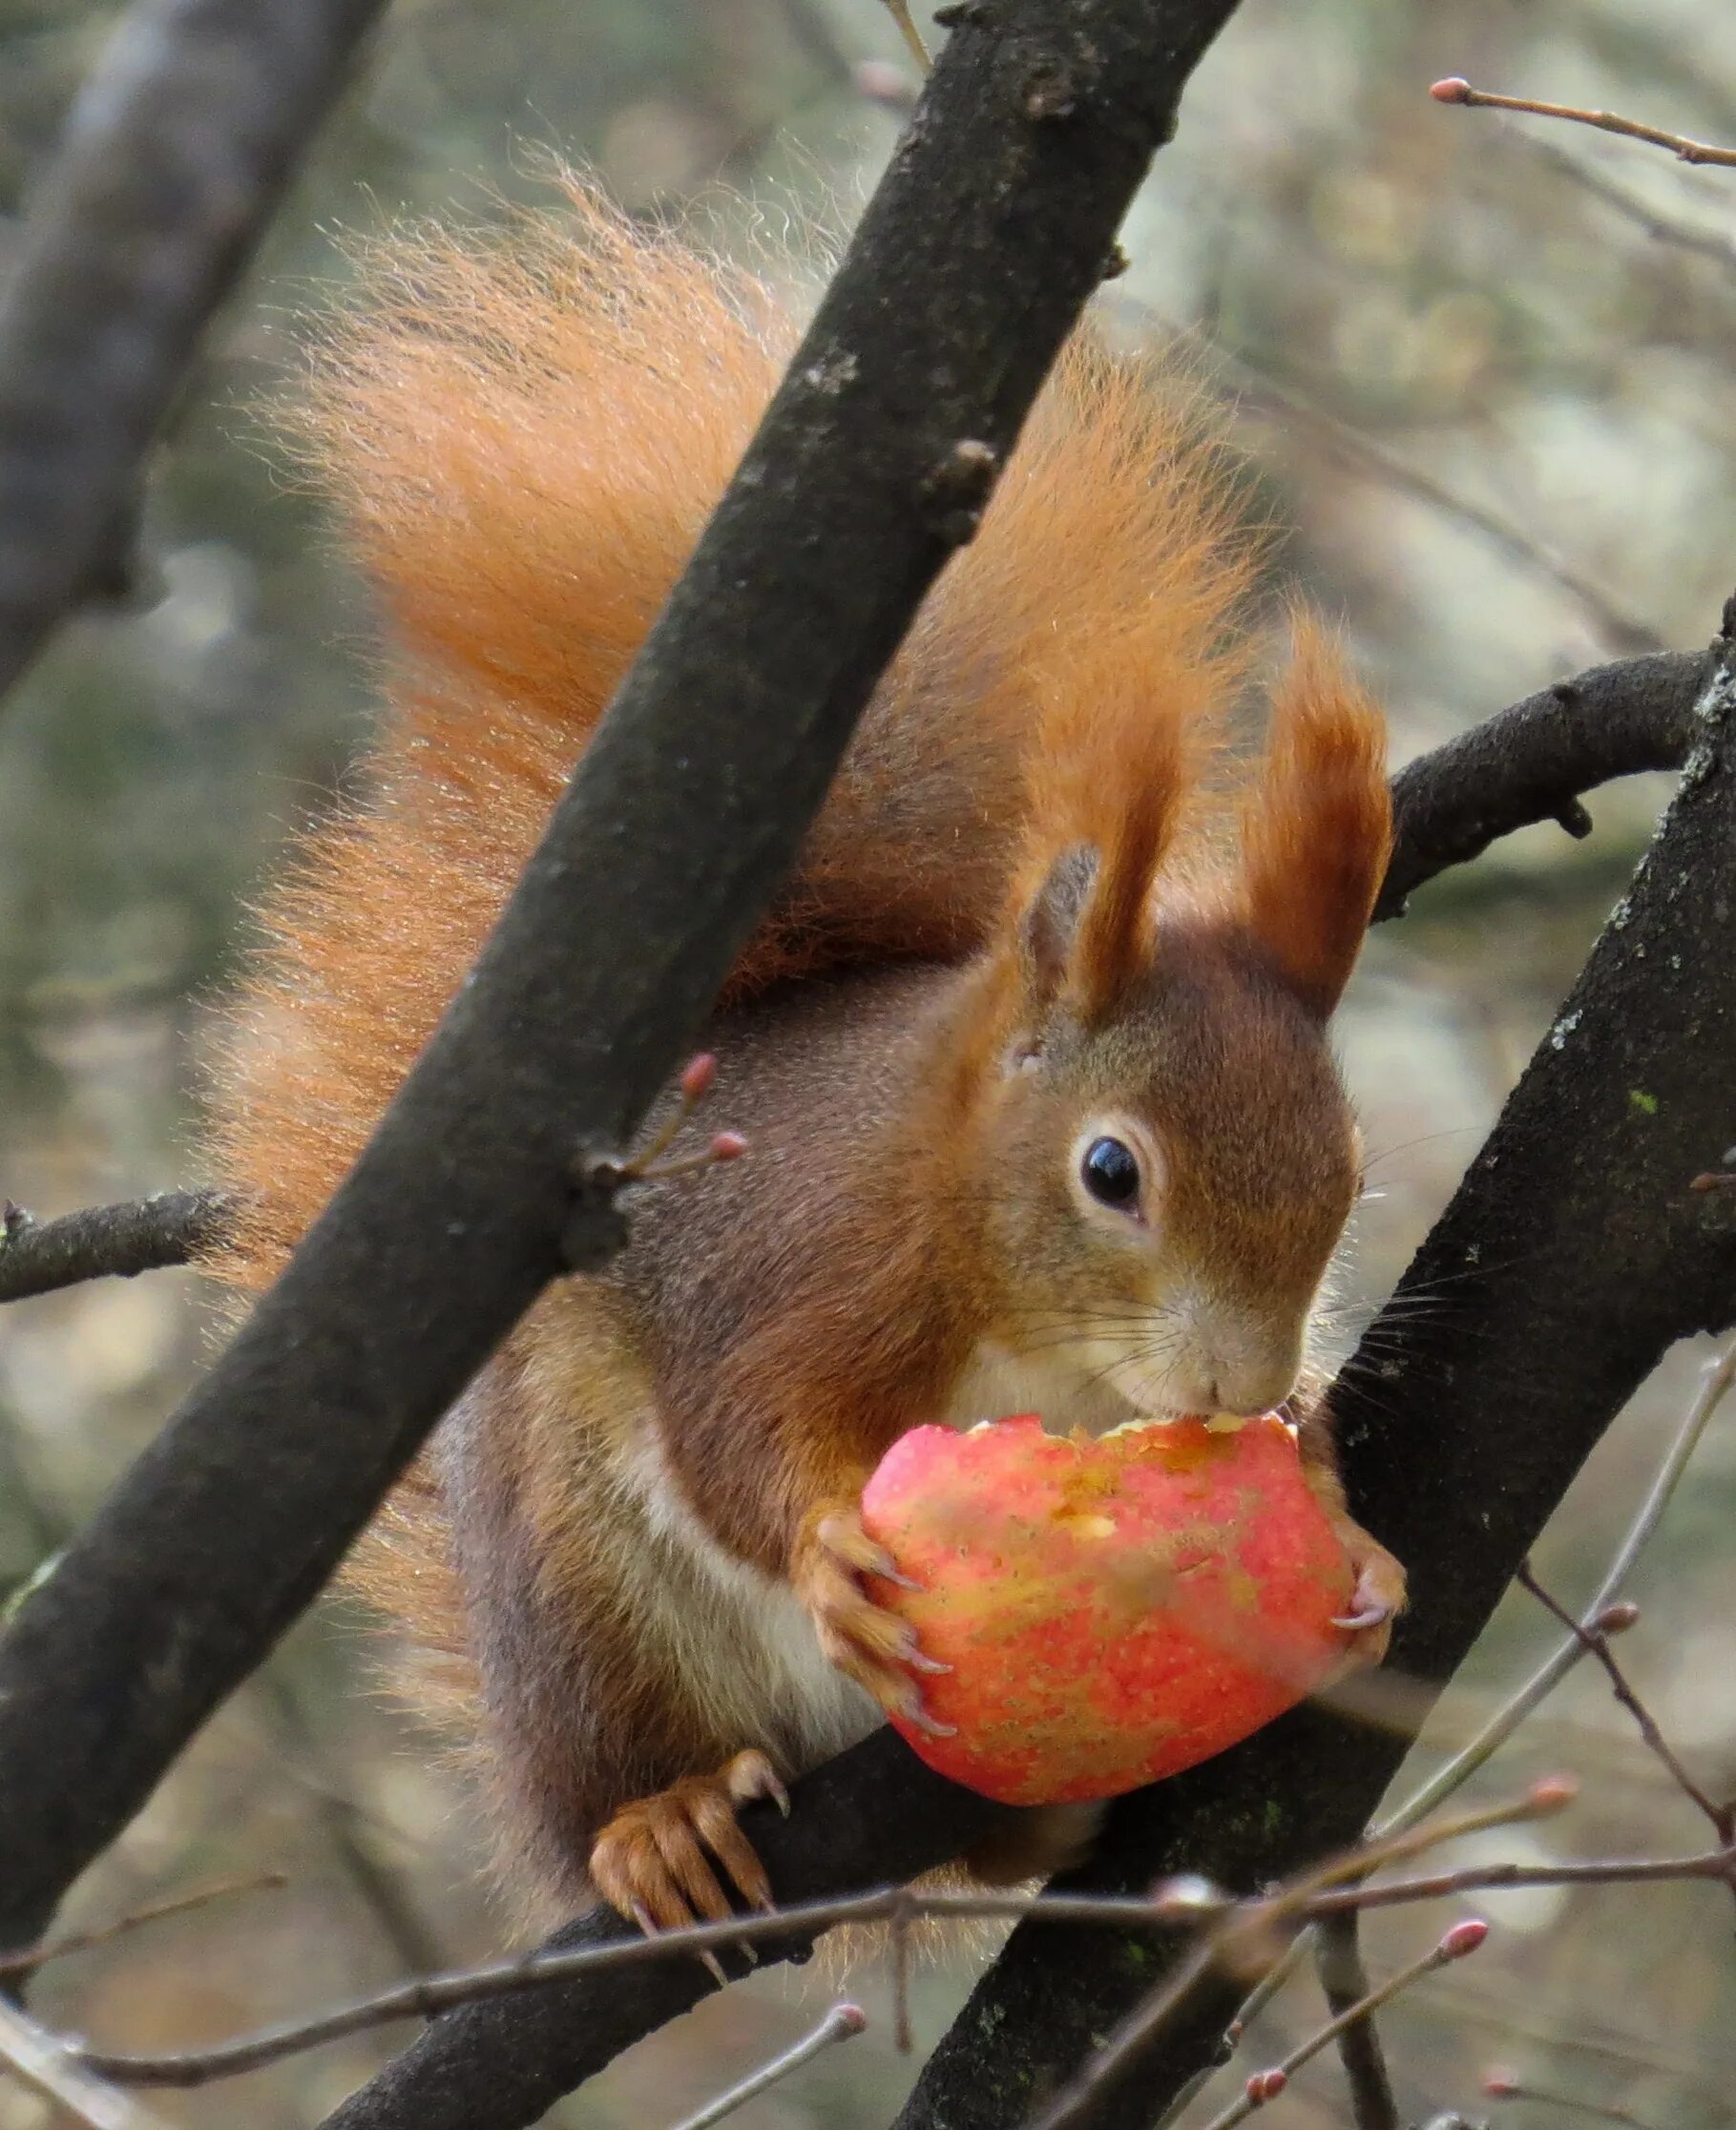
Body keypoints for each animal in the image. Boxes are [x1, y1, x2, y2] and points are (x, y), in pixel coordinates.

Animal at [203, 182, 1406, 1942]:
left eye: (1347, 1165)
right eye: (1109, 1171)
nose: (1237, 1387)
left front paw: (1337, 1509)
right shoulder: (796, 1266)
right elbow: (741, 1437)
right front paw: (836, 1547)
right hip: (578, 1599)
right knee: (615, 1751)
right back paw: (656, 1824)